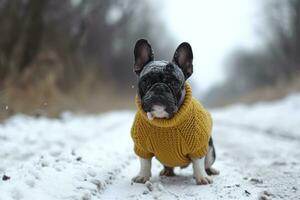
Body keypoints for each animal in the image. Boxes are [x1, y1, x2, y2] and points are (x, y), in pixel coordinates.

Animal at [130, 38, 219, 184]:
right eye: (146, 82)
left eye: (174, 83)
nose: (159, 87)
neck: (164, 120)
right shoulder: (141, 147)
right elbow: (145, 162)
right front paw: (142, 176)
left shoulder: (198, 146)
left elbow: (198, 162)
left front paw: (201, 177)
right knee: (168, 166)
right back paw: (167, 172)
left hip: (210, 150)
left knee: (206, 163)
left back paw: (210, 171)